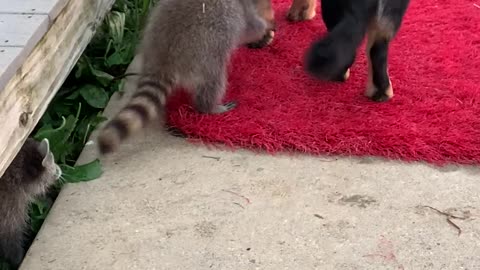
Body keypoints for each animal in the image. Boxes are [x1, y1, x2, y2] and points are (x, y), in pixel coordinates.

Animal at [0, 138, 61, 268]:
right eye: (52, 160)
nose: (59, 170)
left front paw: (46, 200)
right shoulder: (9, 209)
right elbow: (10, 239)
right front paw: (18, 259)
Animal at [97, 0, 270, 154]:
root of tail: (163, 59)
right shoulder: (243, 9)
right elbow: (251, 28)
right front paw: (265, 28)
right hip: (205, 53)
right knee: (213, 79)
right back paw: (209, 106)